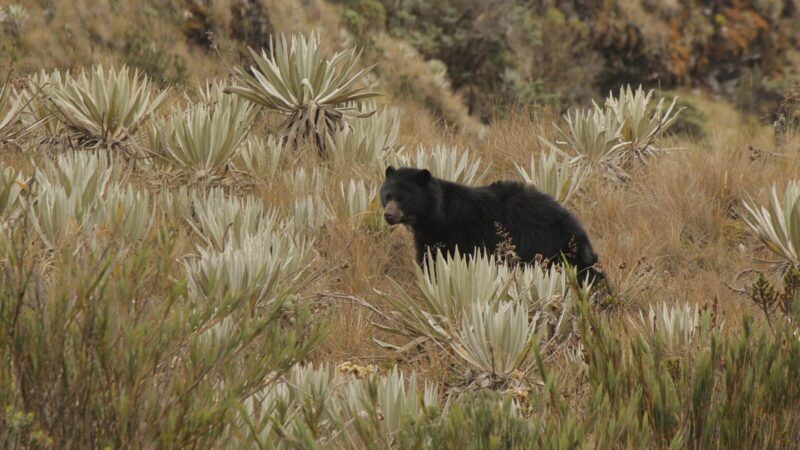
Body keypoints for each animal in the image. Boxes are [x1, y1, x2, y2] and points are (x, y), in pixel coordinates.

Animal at [380, 166, 606, 285]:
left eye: (402, 198)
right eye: (387, 196)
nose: (389, 215)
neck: (435, 216)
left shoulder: (457, 234)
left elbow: (437, 261)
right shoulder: (428, 236)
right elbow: (427, 258)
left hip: (548, 249)